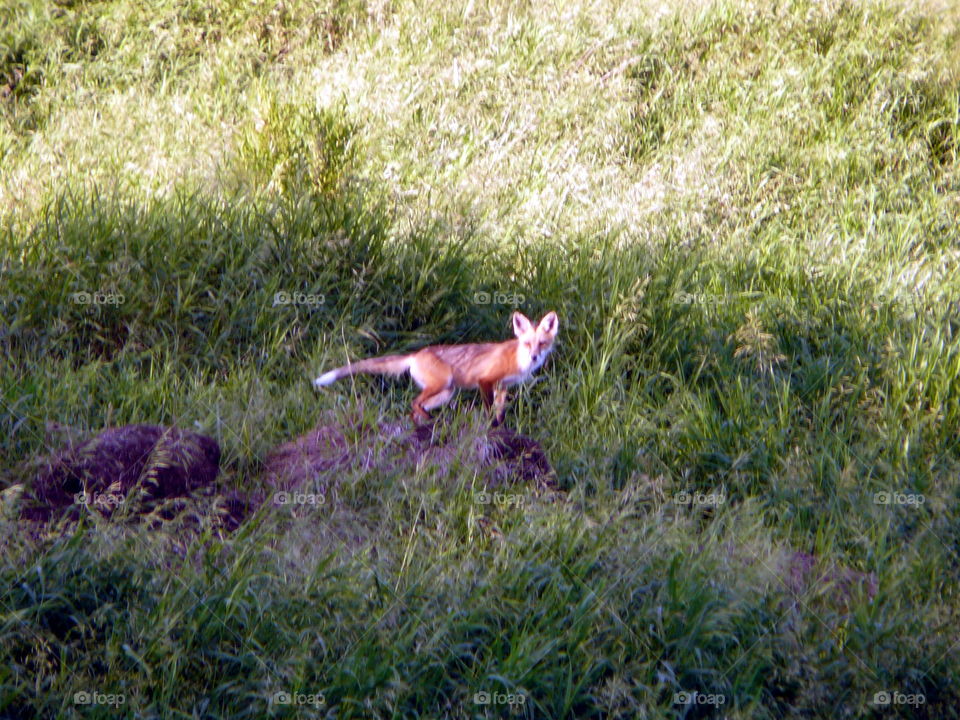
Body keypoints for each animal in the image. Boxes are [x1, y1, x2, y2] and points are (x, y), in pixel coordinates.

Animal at [315, 311, 559, 425]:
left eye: (542, 343)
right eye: (527, 344)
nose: (535, 357)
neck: (517, 359)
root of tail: (416, 354)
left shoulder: (502, 386)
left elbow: (499, 413)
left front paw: (500, 428)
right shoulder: (486, 381)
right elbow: (490, 410)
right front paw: (491, 427)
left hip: (446, 393)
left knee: (414, 408)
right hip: (442, 384)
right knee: (414, 402)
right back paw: (429, 420)